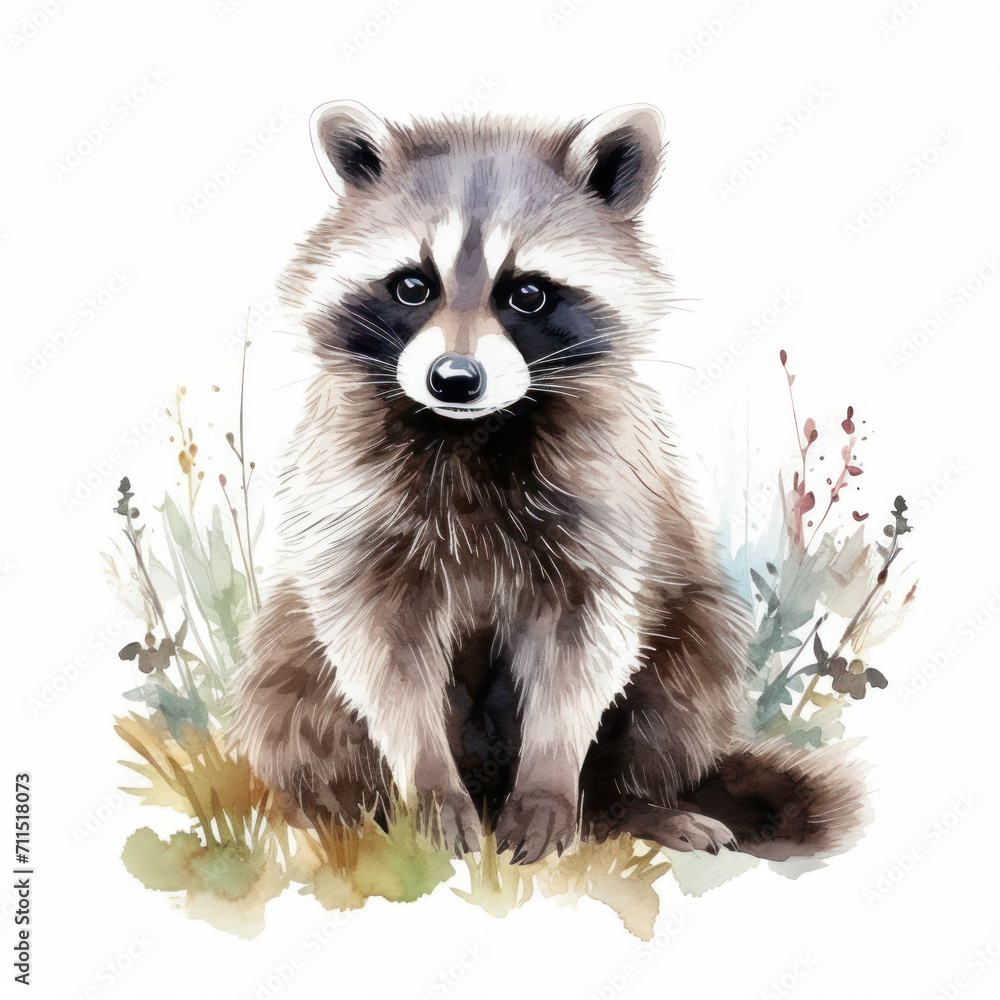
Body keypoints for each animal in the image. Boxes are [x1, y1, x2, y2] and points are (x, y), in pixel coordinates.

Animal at [228, 101, 869, 864]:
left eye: (528, 293)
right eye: (413, 286)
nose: (454, 379)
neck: (472, 432)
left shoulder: (604, 498)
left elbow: (583, 649)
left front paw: (549, 783)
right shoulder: (353, 495)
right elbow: (382, 653)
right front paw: (428, 781)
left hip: (693, 629)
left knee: (683, 683)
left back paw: (634, 804)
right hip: (285, 653)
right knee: (294, 698)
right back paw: (355, 811)